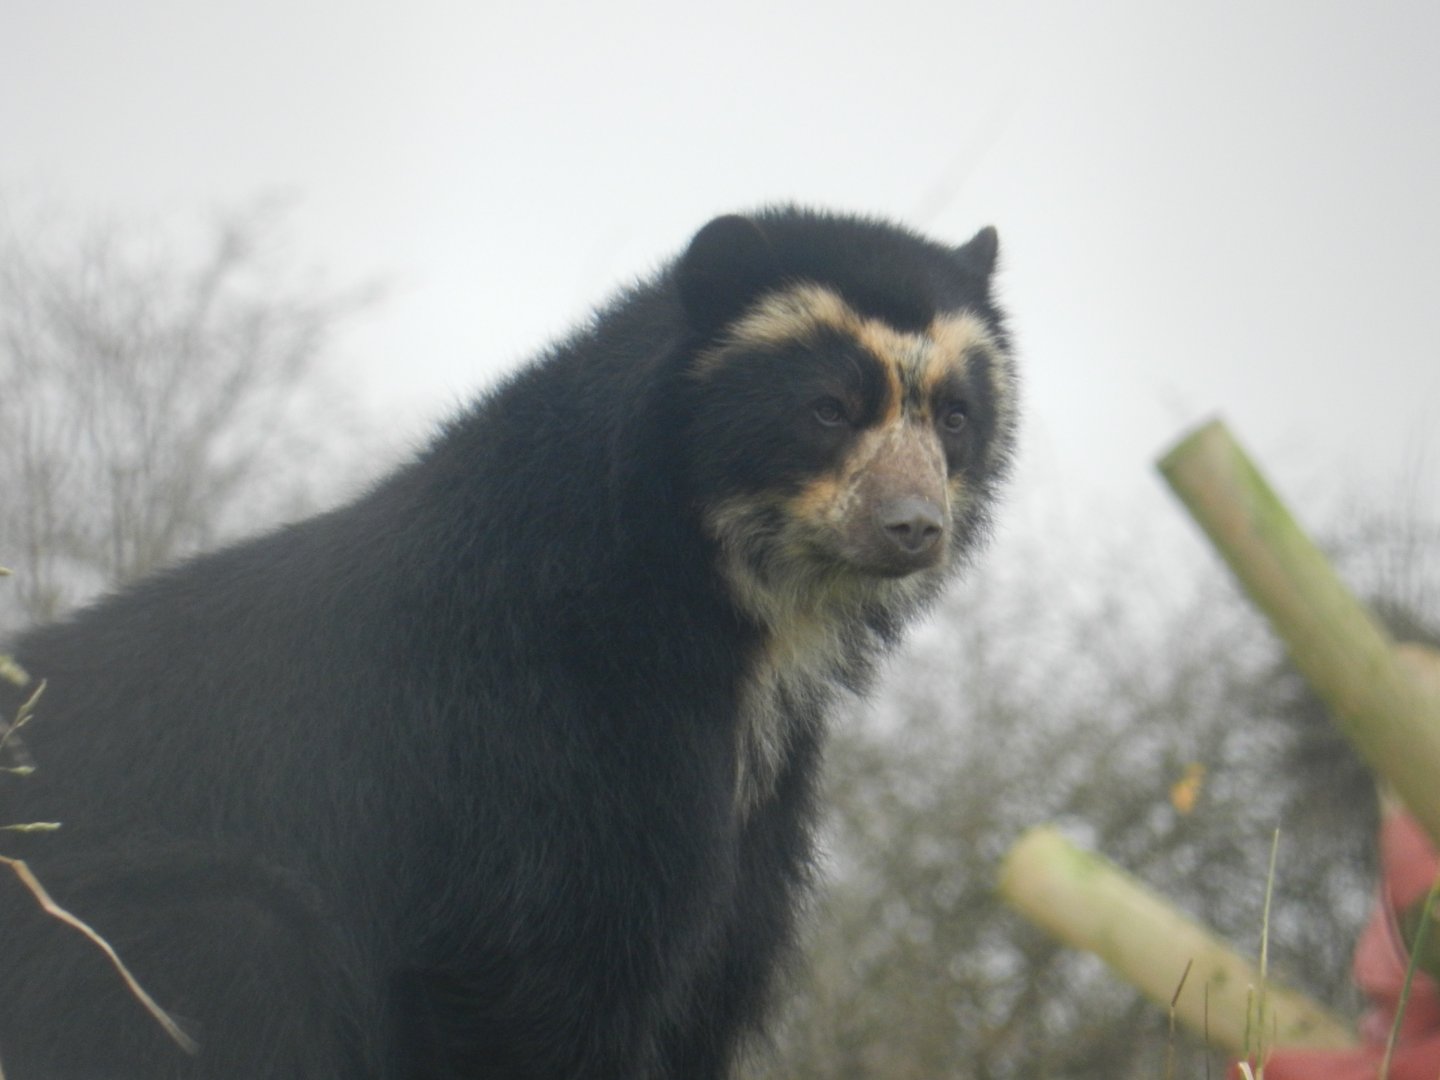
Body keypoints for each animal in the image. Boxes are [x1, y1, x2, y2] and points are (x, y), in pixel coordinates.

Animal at [0, 207, 1018, 1078]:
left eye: (954, 416)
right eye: (829, 409)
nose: (913, 526)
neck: (734, 620)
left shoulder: (755, 822)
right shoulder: (543, 742)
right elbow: (543, 982)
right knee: (233, 948)